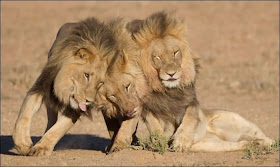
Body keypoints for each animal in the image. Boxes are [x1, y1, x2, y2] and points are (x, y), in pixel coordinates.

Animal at [11, 16, 117, 156]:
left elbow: (60, 127)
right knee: (51, 117)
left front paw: (42, 147)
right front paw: (22, 143)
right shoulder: (43, 84)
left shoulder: (75, 108)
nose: (89, 101)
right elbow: (25, 111)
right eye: (87, 75)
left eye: (100, 83)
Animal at [99, 11, 272, 153]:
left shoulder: (190, 101)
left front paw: (180, 141)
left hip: (233, 121)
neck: (169, 89)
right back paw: (255, 145)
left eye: (175, 53)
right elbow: (154, 124)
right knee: (238, 143)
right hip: (210, 145)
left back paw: (265, 143)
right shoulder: (146, 107)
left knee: (263, 136)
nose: (171, 73)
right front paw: (160, 141)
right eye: (157, 57)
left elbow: (189, 117)